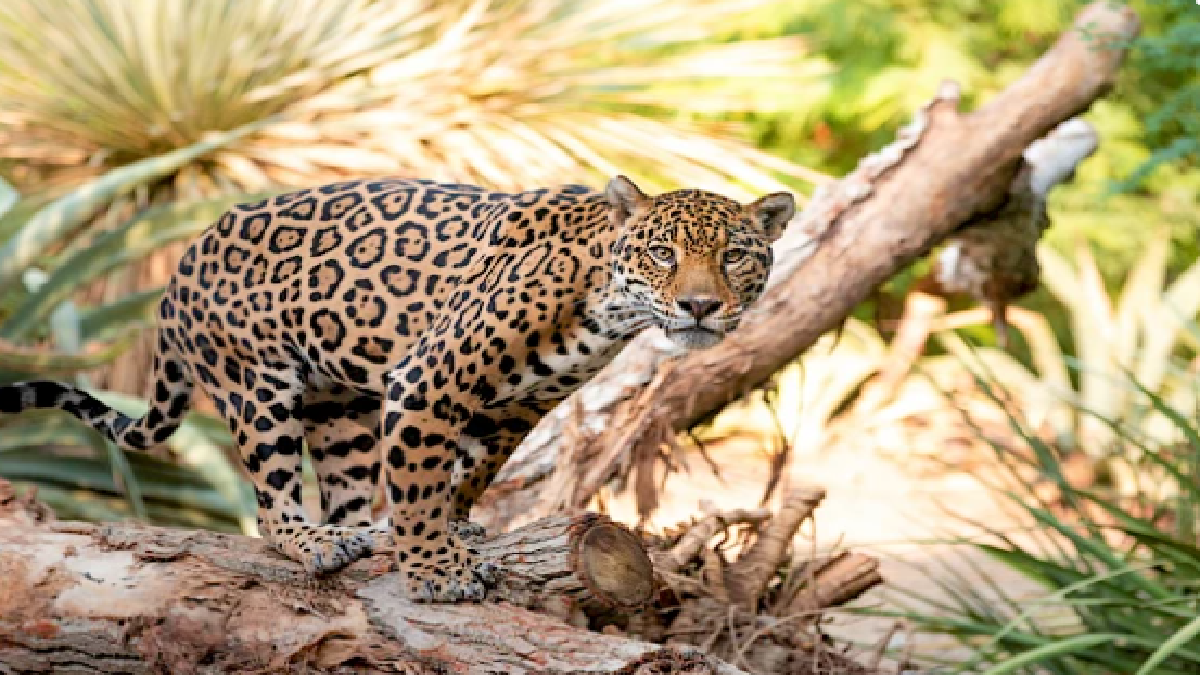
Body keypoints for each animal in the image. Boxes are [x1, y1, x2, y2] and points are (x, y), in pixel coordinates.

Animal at [0, 175, 794, 602]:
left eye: (735, 255)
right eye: (663, 253)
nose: (700, 306)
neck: (605, 302)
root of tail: (179, 267)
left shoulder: (515, 410)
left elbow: (465, 474)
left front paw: (457, 529)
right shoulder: (425, 381)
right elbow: (416, 483)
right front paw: (436, 569)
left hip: (341, 407)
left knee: (347, 488)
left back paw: (358, 531)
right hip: (258, 384)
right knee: (270, 501)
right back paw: (314, 541)